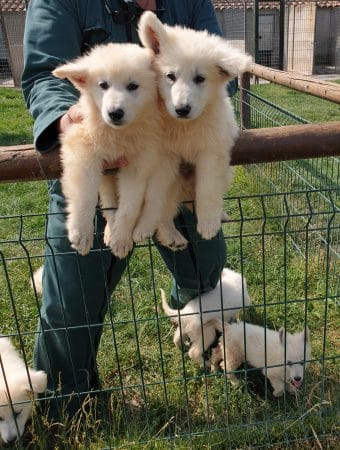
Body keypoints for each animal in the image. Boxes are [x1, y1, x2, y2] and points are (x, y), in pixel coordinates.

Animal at [135, 12, 252, 250]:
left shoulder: (212, 151)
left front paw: (208, 224)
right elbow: (156, 196)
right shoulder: (165, 158)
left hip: (224, 174)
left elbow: (207, 189)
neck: (185, 127)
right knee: (167, 208)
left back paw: (218, 215)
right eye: (170, 76)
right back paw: (171, 235)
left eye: (200, 78)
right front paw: (152, 225)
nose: (182, 109)